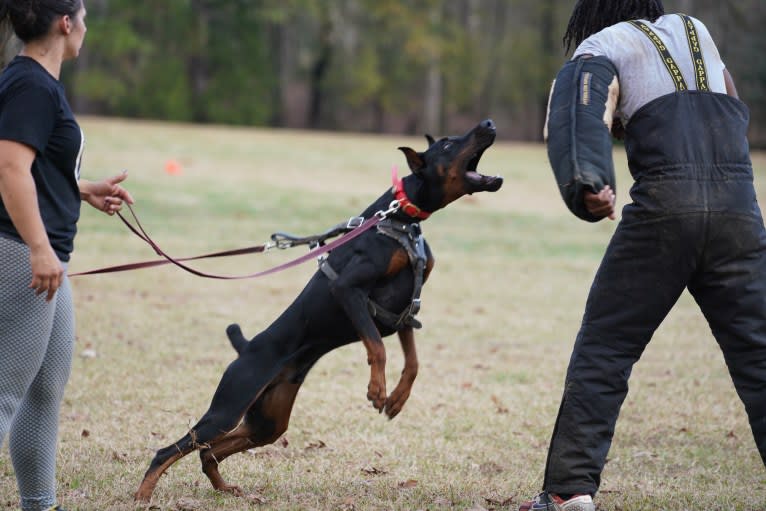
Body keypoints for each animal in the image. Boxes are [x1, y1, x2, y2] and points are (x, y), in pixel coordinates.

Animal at [136, 118, 504, 502]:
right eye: (447, 145)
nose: (488, 123)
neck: (399, 218)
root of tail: (246, 348)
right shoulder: (348, 290)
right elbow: (377, 346)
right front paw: (377, 391)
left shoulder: (406, 310)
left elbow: (413, 361)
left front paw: (397, 399)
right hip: (229, 405)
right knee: (171, 449)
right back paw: (143, 495)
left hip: (269, 419)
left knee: (209, 451)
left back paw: (225, 488)